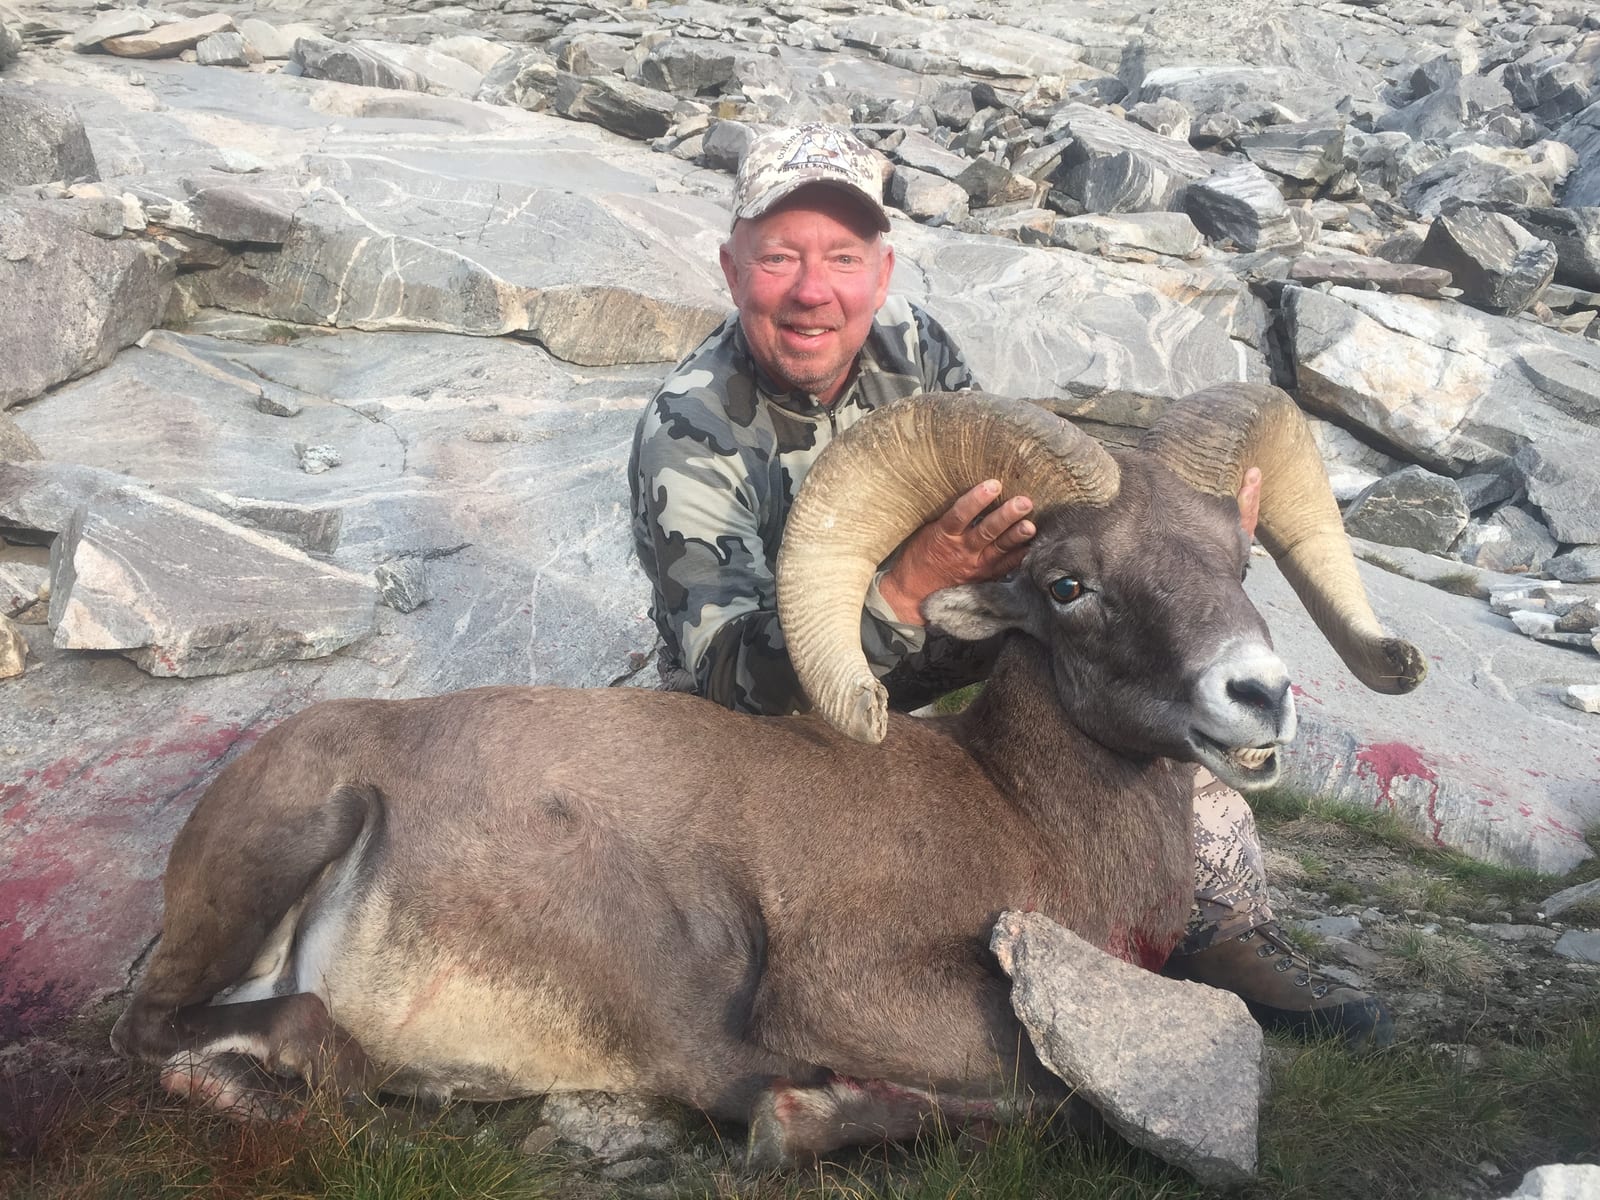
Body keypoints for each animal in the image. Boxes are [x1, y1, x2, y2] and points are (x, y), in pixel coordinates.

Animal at [110, 382, 1423, 1163]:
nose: (1258, 695)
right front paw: (793, 1115)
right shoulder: (852, 994)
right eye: (1068, 584)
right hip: (287, 839)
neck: (1020, 817)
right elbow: (1035, 1093)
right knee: (182, 1029)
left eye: (1236, 558)